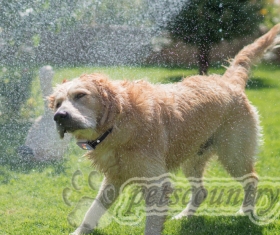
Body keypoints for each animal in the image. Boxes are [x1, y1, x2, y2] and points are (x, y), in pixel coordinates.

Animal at [48, 24, 280, 235]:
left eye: (80, 95)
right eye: (58, 103)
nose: (59, 116)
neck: (119, 124)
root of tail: (227, 82)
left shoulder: (156, 184)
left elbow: (151, 224)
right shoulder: (114, 177)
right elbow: (93, 211)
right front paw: (80, 231)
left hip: (234, 155)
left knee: (252, 179)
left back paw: (245, 212)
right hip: (193, 158)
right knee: (201, 191)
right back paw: (185, 215)